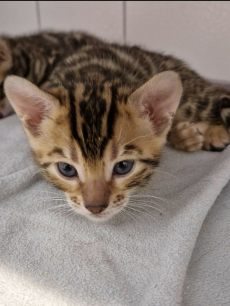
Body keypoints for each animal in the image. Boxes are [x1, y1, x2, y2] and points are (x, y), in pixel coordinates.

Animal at [0, 31, 230, 221]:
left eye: (123, 166)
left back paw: (215, 134)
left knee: (219, 96)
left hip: (194, 98)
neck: (93, 78)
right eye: (66, 169)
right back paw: (185, 135)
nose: (95, 208)